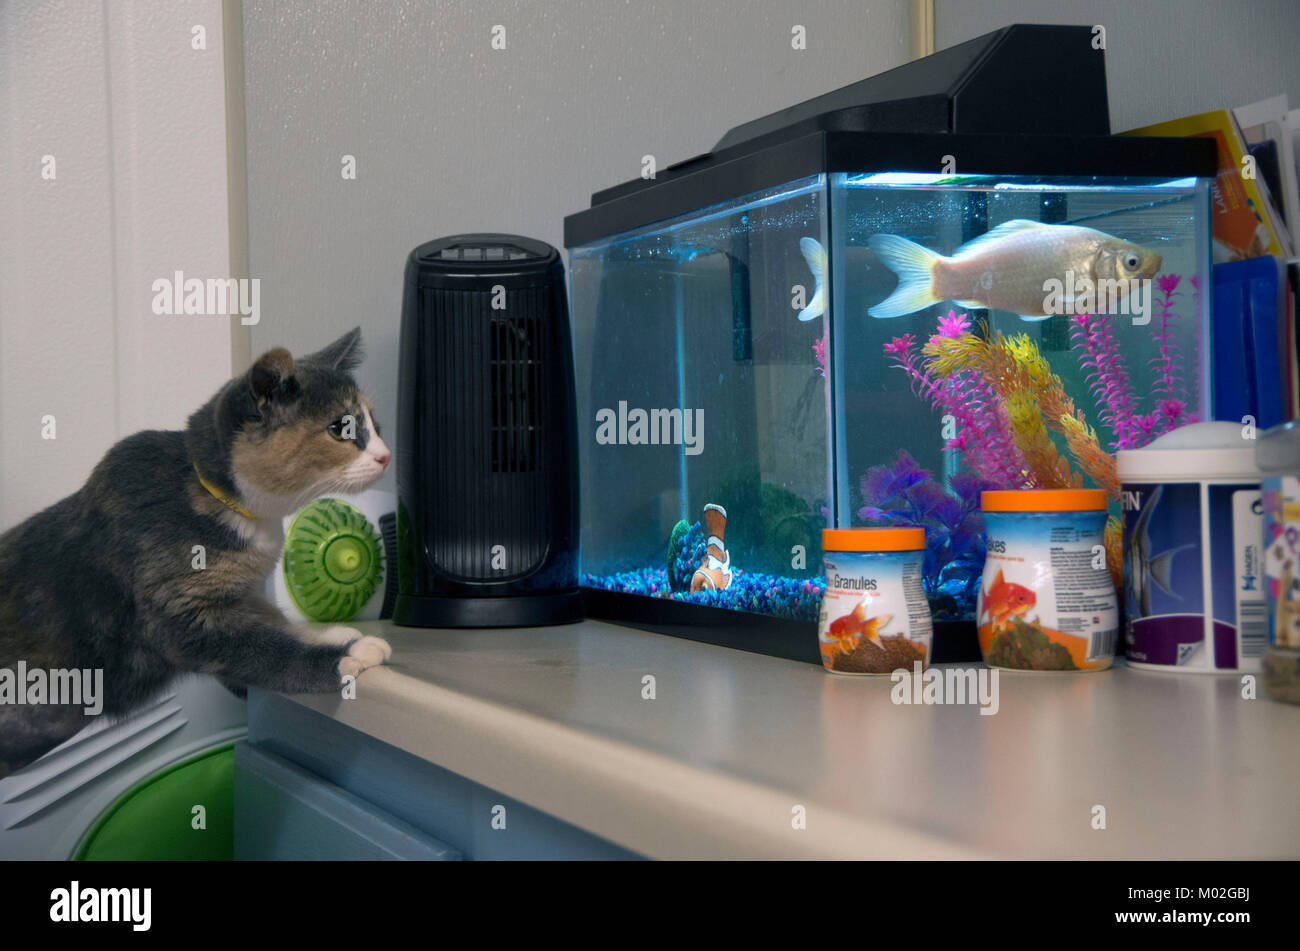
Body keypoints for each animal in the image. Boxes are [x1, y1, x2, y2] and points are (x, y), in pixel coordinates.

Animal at [2, 327, 392, 779]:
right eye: (340, 428)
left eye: (375, 425)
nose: (385, 455)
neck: (226, 501)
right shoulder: (177, 614)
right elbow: (262, 649)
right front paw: (344, 658)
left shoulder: (239, 594)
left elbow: (270, 619)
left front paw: (327, 633)